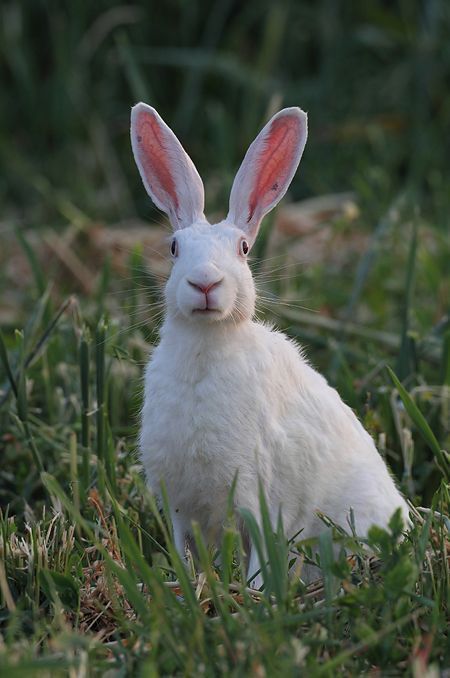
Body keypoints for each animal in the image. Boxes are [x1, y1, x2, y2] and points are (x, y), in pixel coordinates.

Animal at [129, 102, 408, 588]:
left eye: (243, 249)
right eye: (174, 247)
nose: (205, 283)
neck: (207, 346)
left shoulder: (262, 502)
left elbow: (261, 558)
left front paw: (255, 595)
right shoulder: (180, 505)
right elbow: (184, 551)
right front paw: (183, 587)